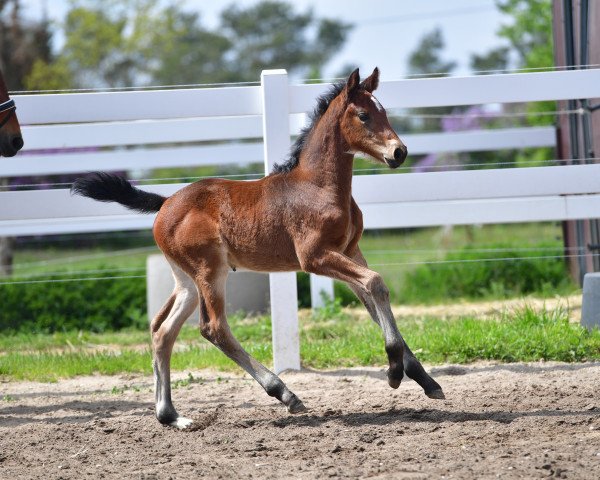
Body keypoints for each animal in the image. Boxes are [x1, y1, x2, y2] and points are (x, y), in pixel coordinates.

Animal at [72, 66, 442, 428]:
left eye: (384, 112)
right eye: (364, 115)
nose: (399, 152)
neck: (317, 186)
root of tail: (164, 204)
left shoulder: (350, 251)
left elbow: (373, 299)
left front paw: (425, 380)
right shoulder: (315, 257)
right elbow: (376, 282)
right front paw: (394, 371)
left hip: (187, 281)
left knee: (162, 331)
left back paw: (172, 416)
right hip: (210, 271)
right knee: (213, 328)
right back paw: (284, 393)